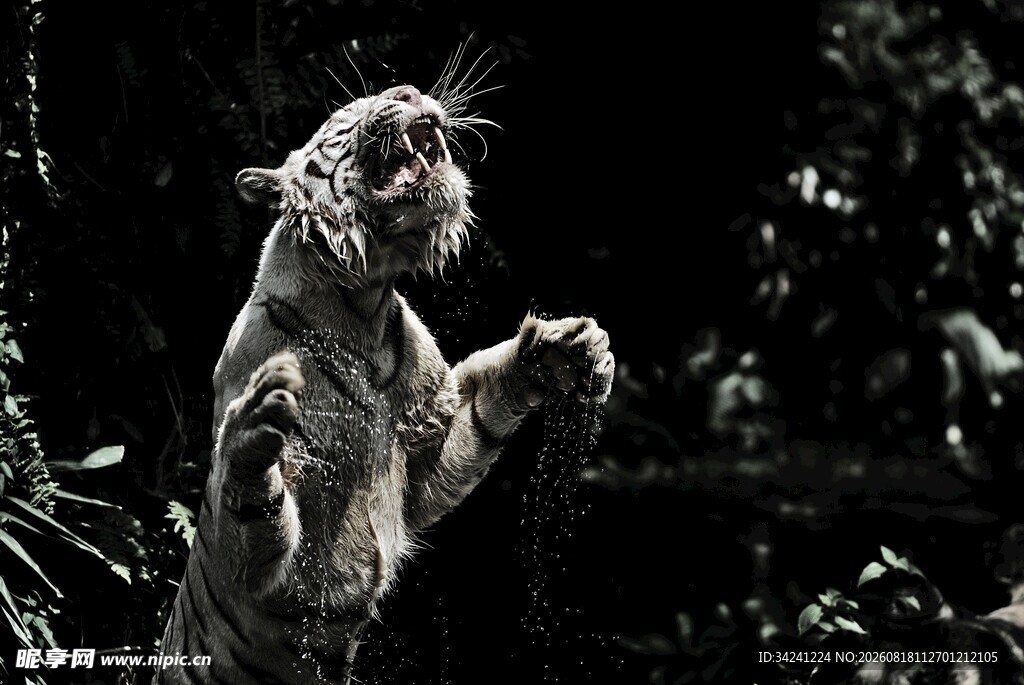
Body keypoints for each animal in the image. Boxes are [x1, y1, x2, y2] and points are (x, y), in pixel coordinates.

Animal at [154, 83, 614, 685]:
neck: (363, 307)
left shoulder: (426, 446)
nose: (410, 91)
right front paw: (256, 423)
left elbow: (483, 408)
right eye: (345, 114)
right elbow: (251, 506)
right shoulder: (264, 564)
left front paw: (569, 350)